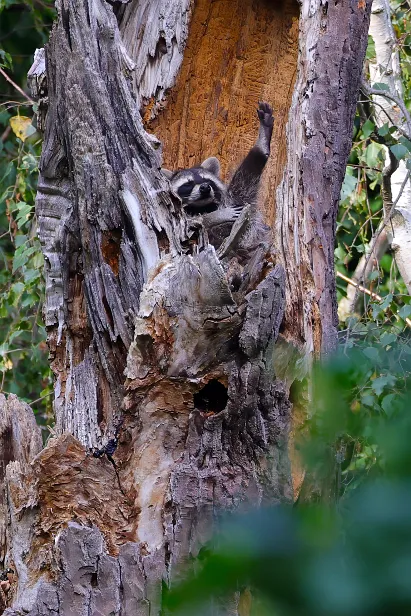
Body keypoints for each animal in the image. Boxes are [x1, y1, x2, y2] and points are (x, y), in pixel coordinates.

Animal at [163, 102, 276, 251]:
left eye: (206, 180)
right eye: (188, 184)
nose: (205, 187)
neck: (201, 207)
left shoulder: (237, 201)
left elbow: (246, 181)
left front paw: (262, 144)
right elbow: (189, 226)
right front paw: (216, 216)